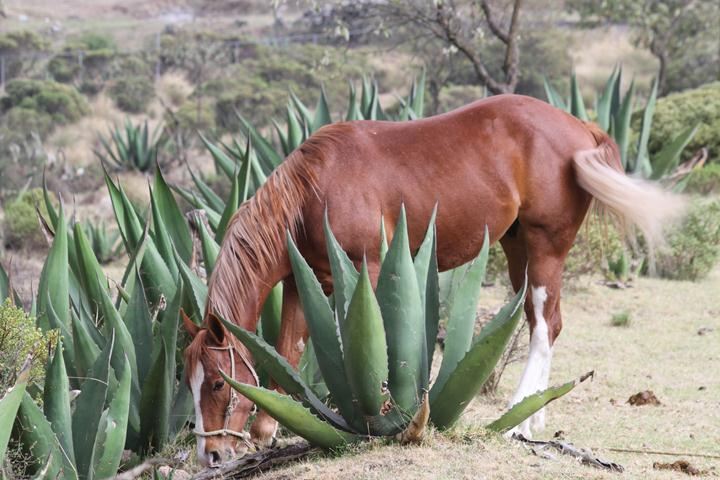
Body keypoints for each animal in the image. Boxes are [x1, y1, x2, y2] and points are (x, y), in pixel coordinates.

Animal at [180, 93, 680, 464]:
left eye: (218, 383)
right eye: (188, 380)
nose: (212, 454)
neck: (312, 193)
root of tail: (580, 127)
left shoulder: (367, 273)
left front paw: (383, 415)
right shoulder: (306, 285)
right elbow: (288, 349)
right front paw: (267, 430)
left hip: (545, 249)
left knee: (543, 325)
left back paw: (517, 421)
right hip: (515, 246)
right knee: (547, 323)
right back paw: (533, 417)